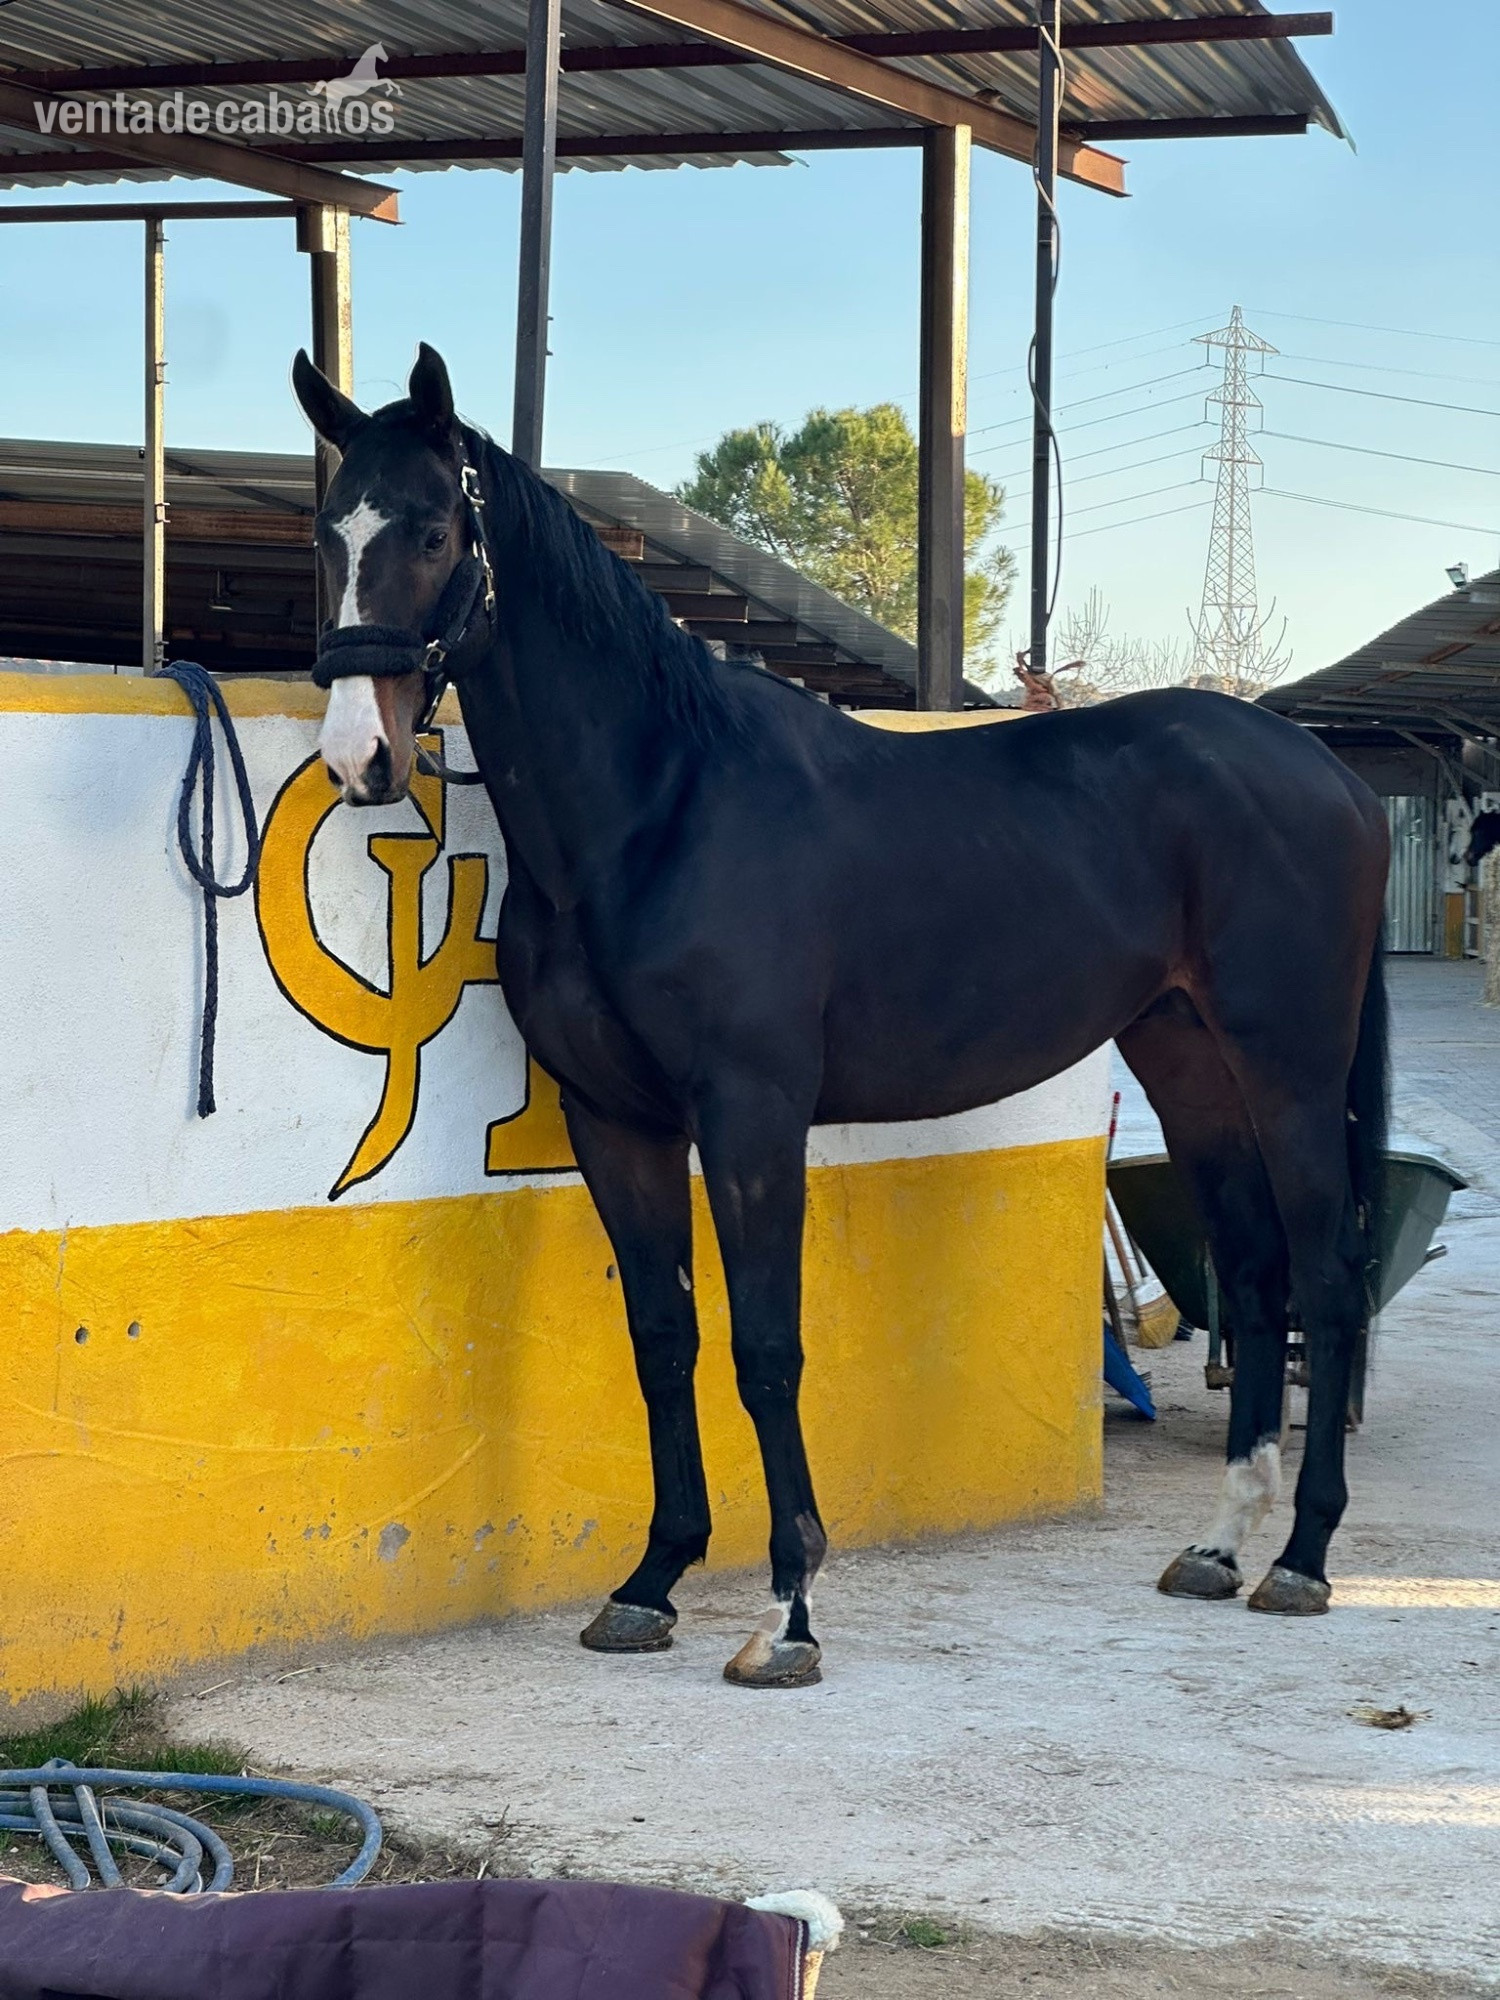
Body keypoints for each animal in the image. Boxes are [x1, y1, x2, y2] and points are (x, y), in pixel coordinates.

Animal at [291, 343, 1390, 1690]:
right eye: (328, 533)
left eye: (436, 530)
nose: (361, 756)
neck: (659, 805)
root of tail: (1330, 772)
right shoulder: (616, 1120)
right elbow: (664, 1335)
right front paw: (650, 1581)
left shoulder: (751, 1116)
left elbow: (767, 1347)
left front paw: (787, 1609)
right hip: (1190, 1061)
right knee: (1253, 1266)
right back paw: (1223, 1544)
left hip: (1289, 1065)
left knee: (1327, 1275)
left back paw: (1304, 1557)